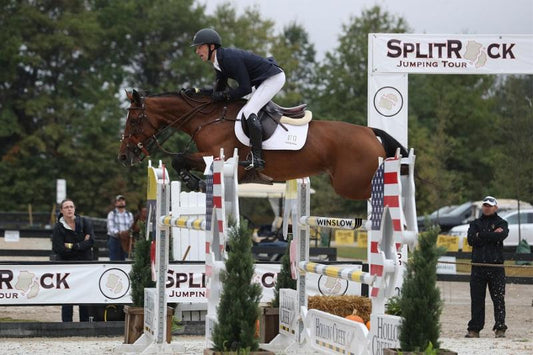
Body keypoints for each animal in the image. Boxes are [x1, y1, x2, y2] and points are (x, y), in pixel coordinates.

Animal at [118, 89, 406, 200]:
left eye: (133, 119)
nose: (123, 157)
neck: (207, 119)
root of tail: (369, 132)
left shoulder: (221, 158)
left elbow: (179, 158)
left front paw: (194, 181)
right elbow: (180, 160)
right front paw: (194, 181)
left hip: (351, 184)